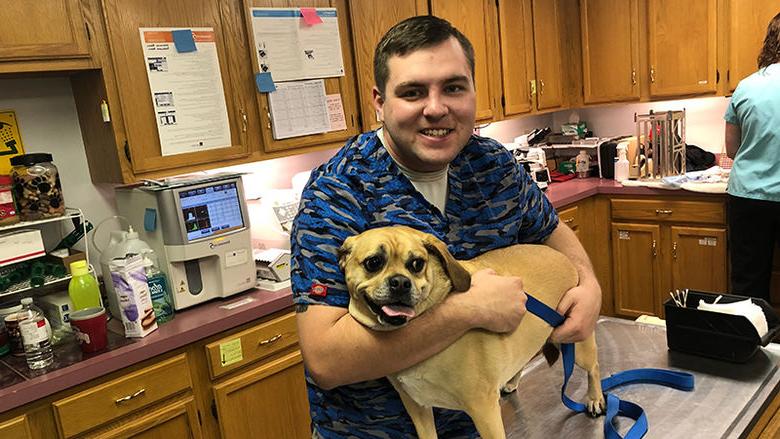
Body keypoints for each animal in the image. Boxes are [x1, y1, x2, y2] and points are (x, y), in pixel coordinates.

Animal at [338, 227, 608, 439]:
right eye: (373, 262)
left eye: (417, 264)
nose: (400, 283)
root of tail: (563, 257)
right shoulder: (417, 408)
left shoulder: (484, 410)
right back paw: (512, 380)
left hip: (578, 345)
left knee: (594, 368)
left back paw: (595, 398)